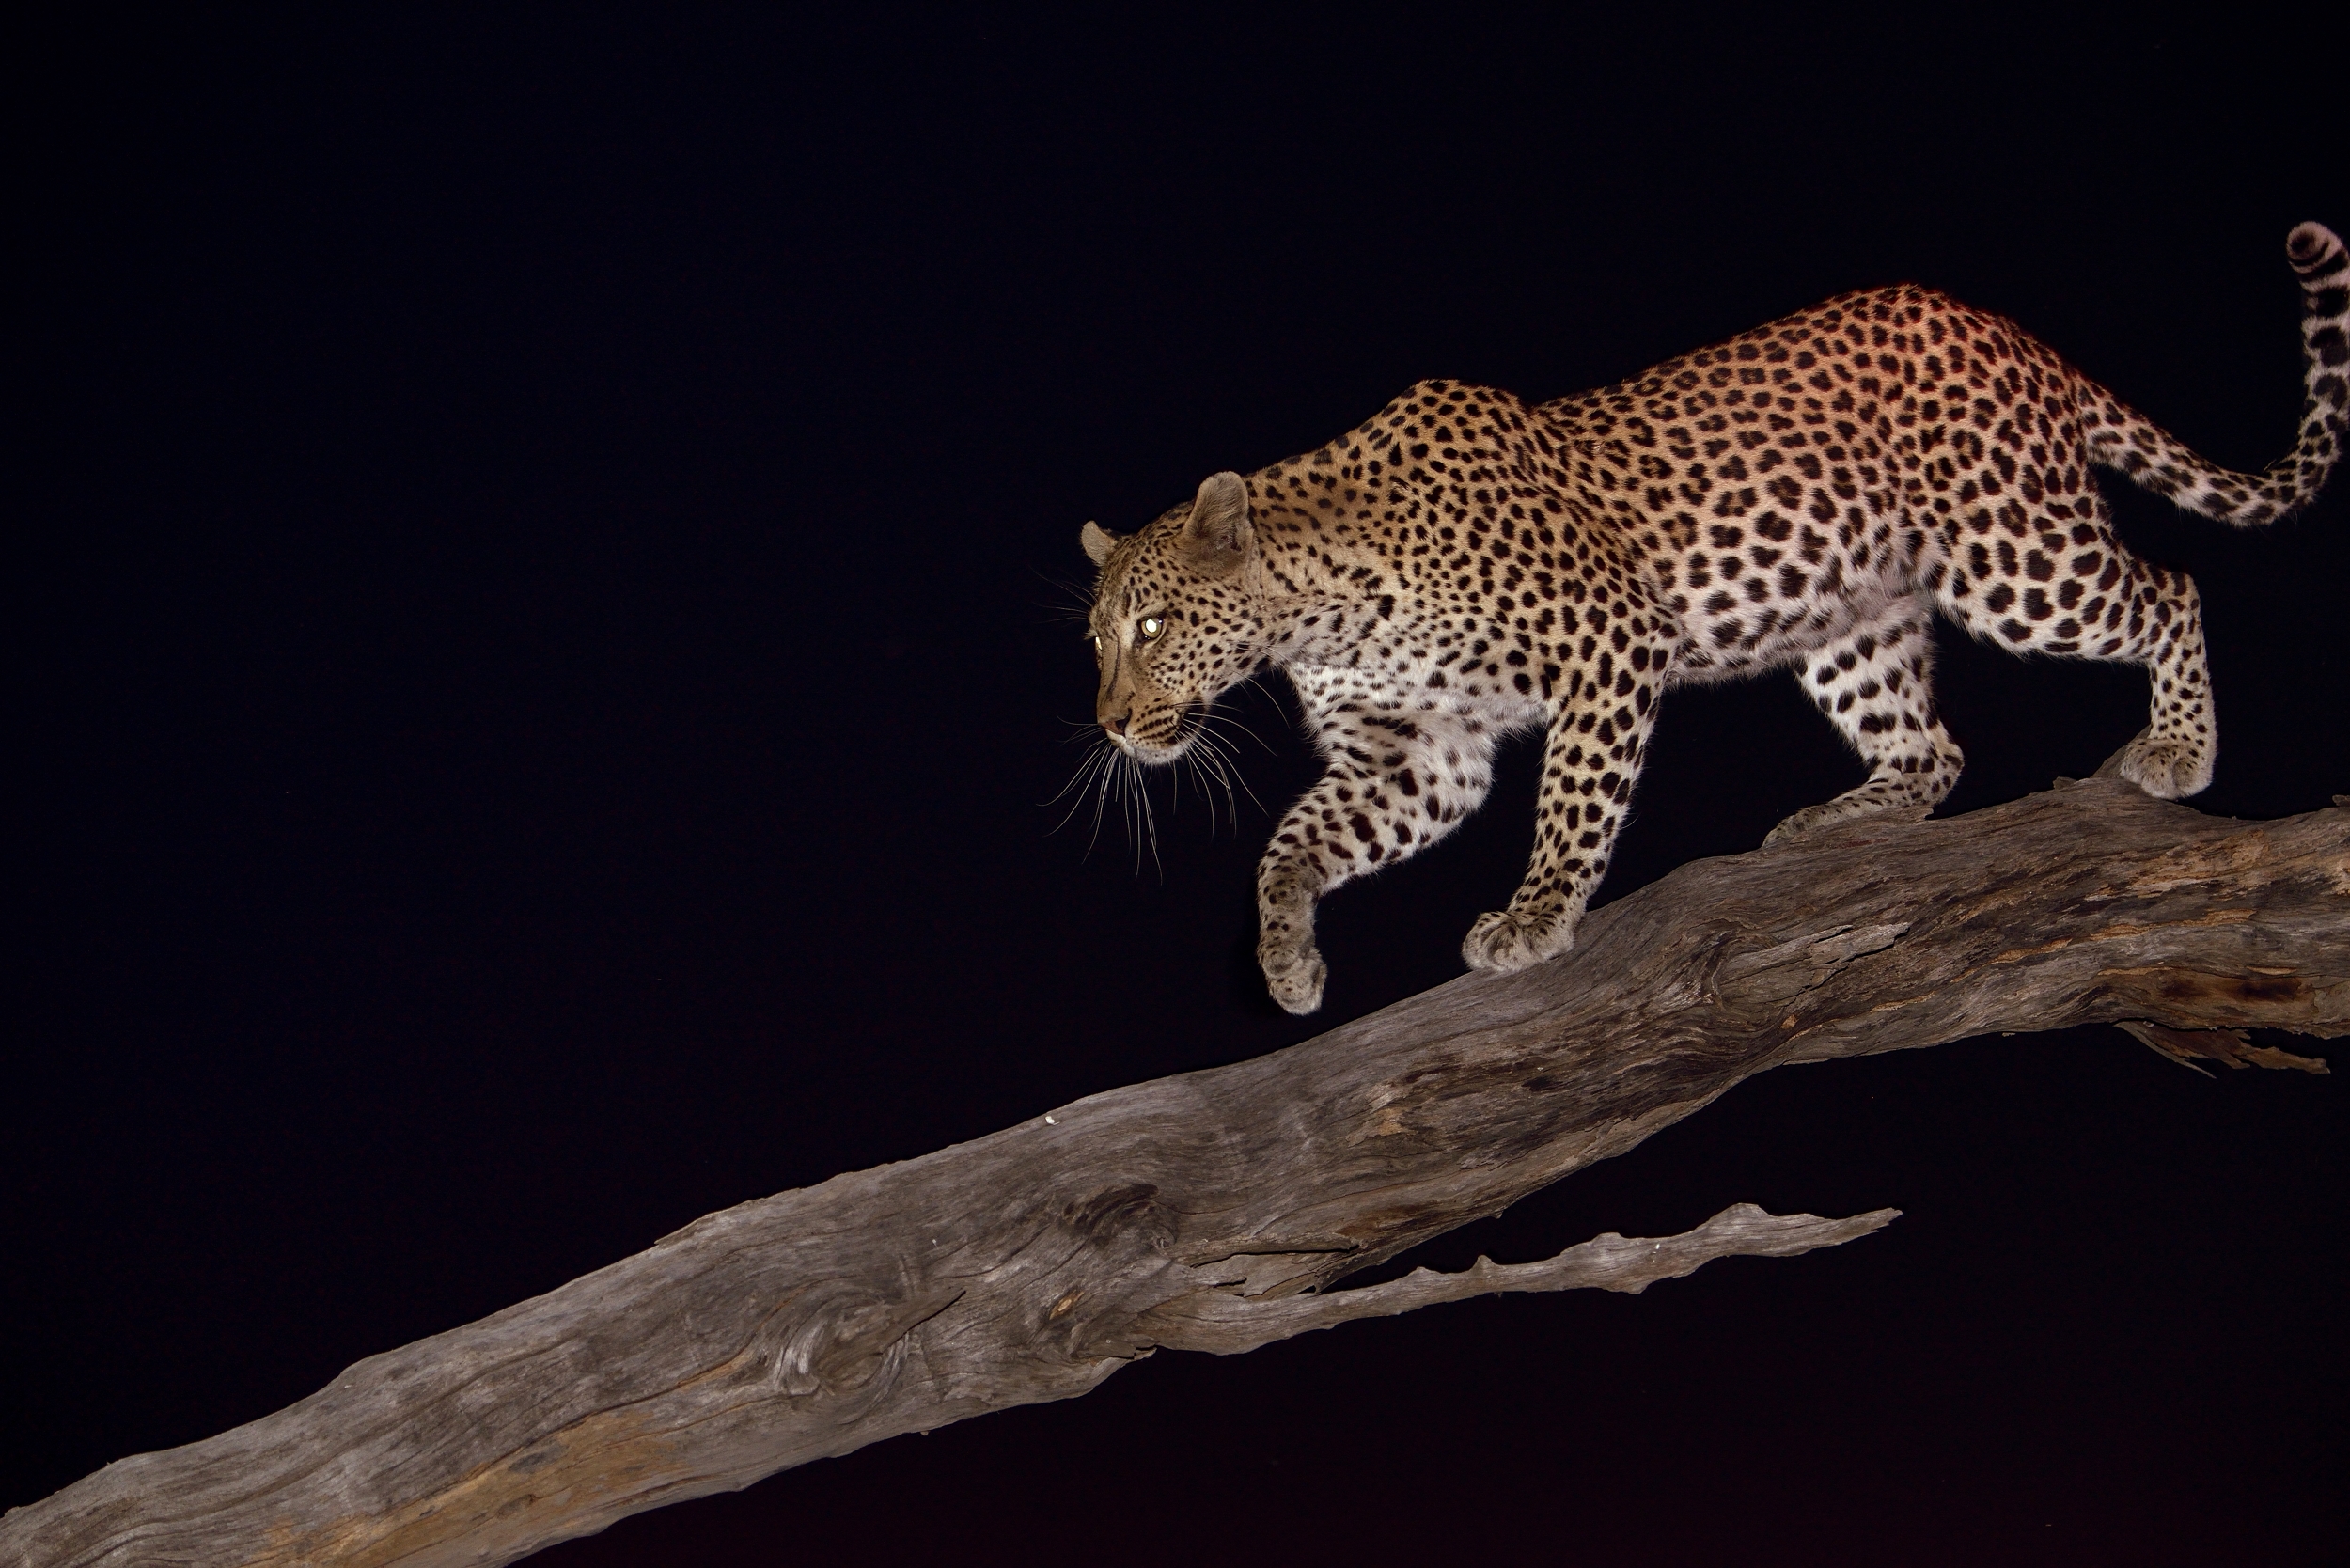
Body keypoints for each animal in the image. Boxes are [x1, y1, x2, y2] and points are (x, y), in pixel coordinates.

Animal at [1078, 222, 2347, 1016]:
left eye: (1150, 629)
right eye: (1097, 638)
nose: (1110, 725)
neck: (1317, 612)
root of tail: (2003, 327)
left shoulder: (1603, 649)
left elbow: (1569, 807)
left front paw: (1534, 919)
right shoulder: (1420, 752)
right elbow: (1290, 844)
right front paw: (1287, 965)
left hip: (2015, 554)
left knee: (2170, 589)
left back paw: (2178, 747)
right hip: (1849, 619)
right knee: (1931, 749)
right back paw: (1841, 820)